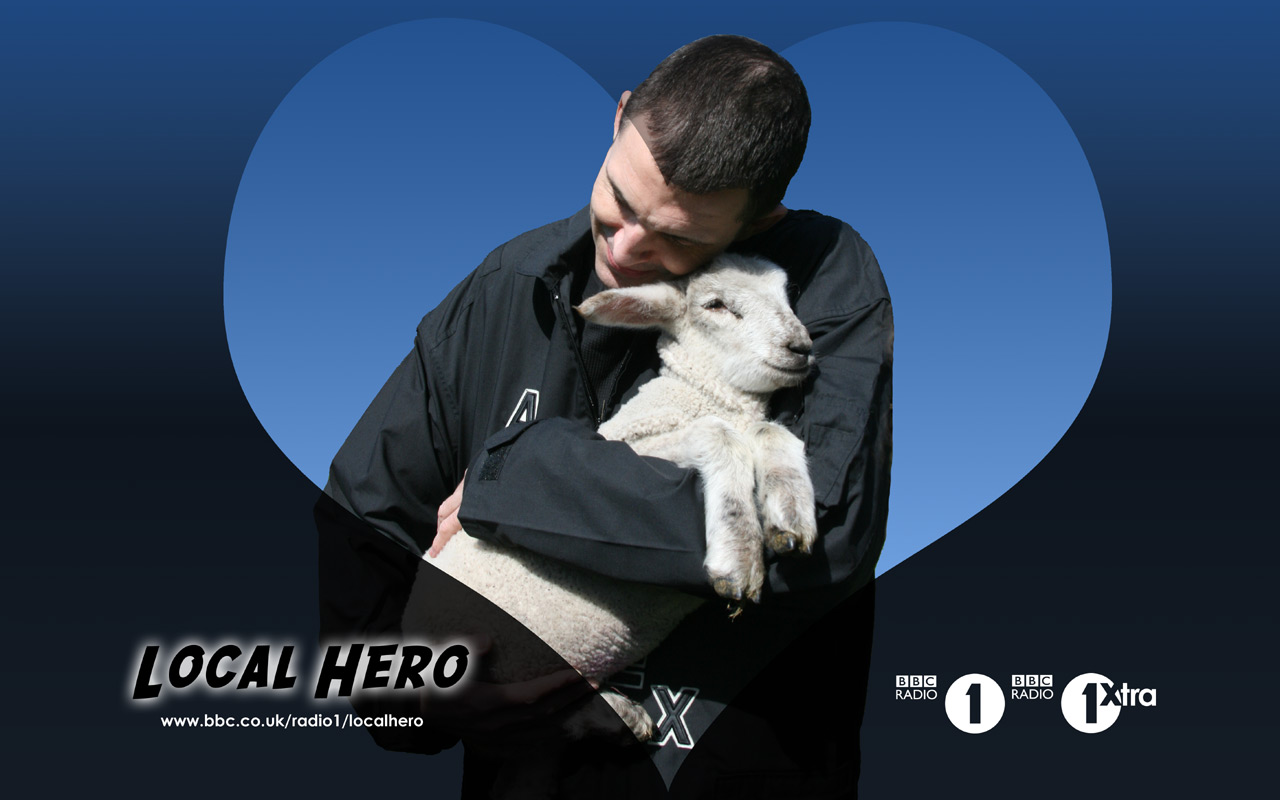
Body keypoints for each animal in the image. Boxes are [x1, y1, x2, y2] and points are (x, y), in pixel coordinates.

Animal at [402, 252, 818, 742]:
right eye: (715, 304)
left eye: (788, 293)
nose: (801, 347)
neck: (698, 394)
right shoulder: (634, 449)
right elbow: (720, 435)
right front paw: (738, 554)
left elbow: (772, 432)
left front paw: (789, 517)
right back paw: (615, 713)